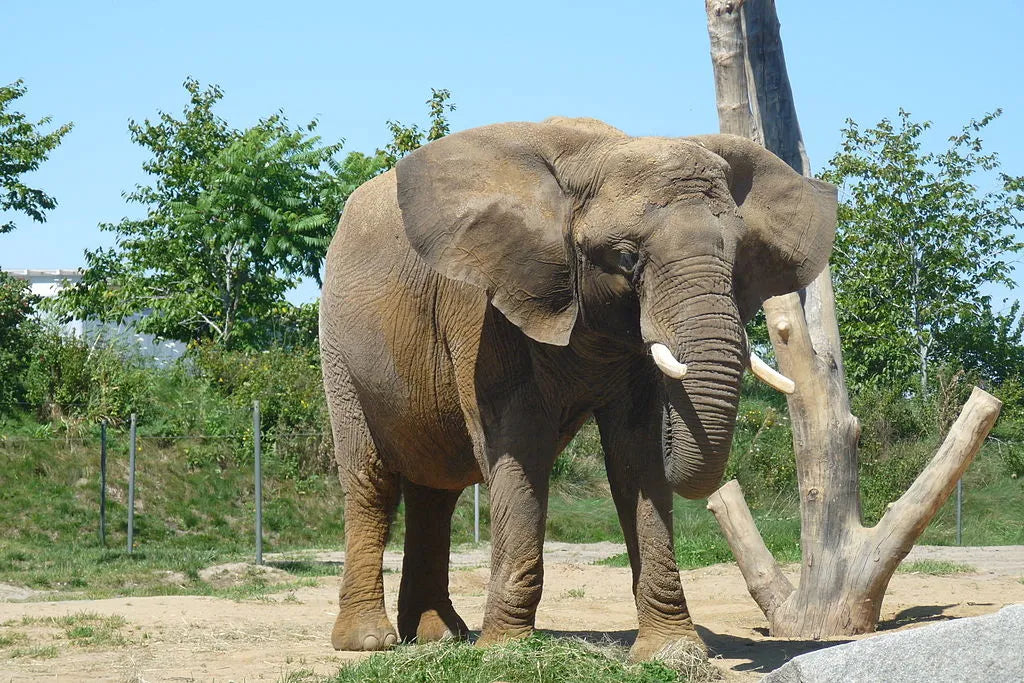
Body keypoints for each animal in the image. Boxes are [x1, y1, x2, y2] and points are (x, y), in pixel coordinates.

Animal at [321, 114, 839, 659]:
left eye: (739, 257)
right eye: (626, 258)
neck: (594, 156)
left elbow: (634, 457)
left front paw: (672, 653)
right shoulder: (484, 310)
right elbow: (519, 447)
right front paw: (506, 652)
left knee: (435, 492)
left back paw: (441, 636)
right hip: (339, 347)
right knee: (371, 481)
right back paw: (370, 642)